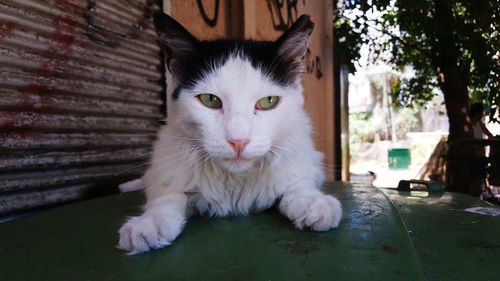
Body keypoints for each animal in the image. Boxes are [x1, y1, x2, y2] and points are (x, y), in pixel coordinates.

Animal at [118, 12, 344, 254]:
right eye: (210, 100)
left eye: (268, 101)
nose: (238, 141)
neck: (236, 180)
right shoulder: (166, 168)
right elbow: (167, 197)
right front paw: (149, 223)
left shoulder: (306, 157)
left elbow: (298, 182)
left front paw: (313, 201)